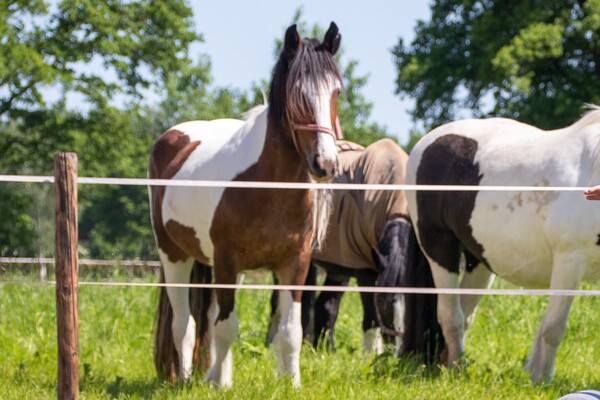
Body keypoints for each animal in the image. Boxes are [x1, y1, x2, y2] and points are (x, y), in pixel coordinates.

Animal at [149, 23, 342, 386]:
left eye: (336, 91)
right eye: (297, 93)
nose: (325, 163)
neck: (267, 186)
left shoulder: (294, 264)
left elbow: (290, 331)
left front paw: (291, 384)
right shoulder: (226, 259)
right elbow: (226, 328)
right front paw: (209, 385)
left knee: (208, 321)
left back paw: (218, 378)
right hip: (175, 256)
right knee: (185, 324)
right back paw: (185, 379)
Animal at [404, 105, 600, 382]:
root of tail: (427, 141)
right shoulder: (569, 260)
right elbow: (553, 328)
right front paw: (541, 380)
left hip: (480, 262)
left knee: (465, 314)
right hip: (439, 249)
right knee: (451, 316)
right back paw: (456, 369)